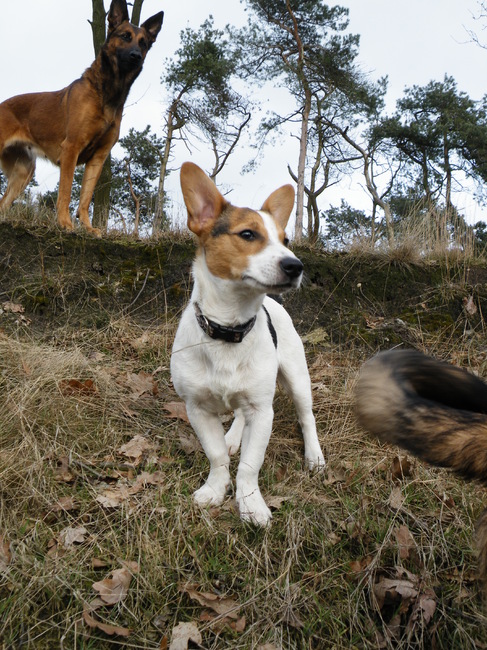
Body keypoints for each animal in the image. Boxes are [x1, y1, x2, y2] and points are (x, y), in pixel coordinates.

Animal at [0, 0, 163, 236]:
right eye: (125, 36)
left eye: (144, 43)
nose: (136, 56)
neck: (106, 93)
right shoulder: (71, 149)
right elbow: (66, 192)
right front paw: (65, 224)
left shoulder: (98, 158)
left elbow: (86, 198)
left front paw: (87, 227)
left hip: (23, 173)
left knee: (3, 203)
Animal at [170, 162, 325, 526]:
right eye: (247, 235)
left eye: (286, 240)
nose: (296, 266)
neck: (230, 328)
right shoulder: (196, 408)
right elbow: (216, 455)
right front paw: (215, 489)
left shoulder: (262, 411)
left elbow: (250, 466)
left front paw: (251, 503)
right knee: (239, 416)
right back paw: (232, 437)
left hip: (297, 379)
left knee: (306, 417)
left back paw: (314, 455)